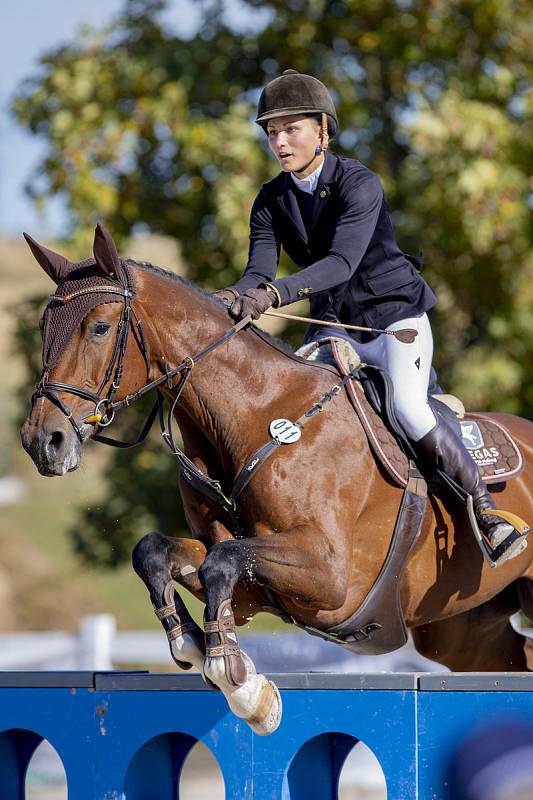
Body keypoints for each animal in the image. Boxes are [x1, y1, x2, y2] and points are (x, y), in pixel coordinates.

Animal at [19, 225, 532, 736]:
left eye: (100, 328)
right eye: (44, 328)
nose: (42, 442)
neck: (255, 416)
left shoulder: (330, 575)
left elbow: (222, 560)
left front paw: (242, 686)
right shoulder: (252, 589)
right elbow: (159, 552)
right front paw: (199, 648)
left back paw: (497, 529)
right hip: (463, 631)